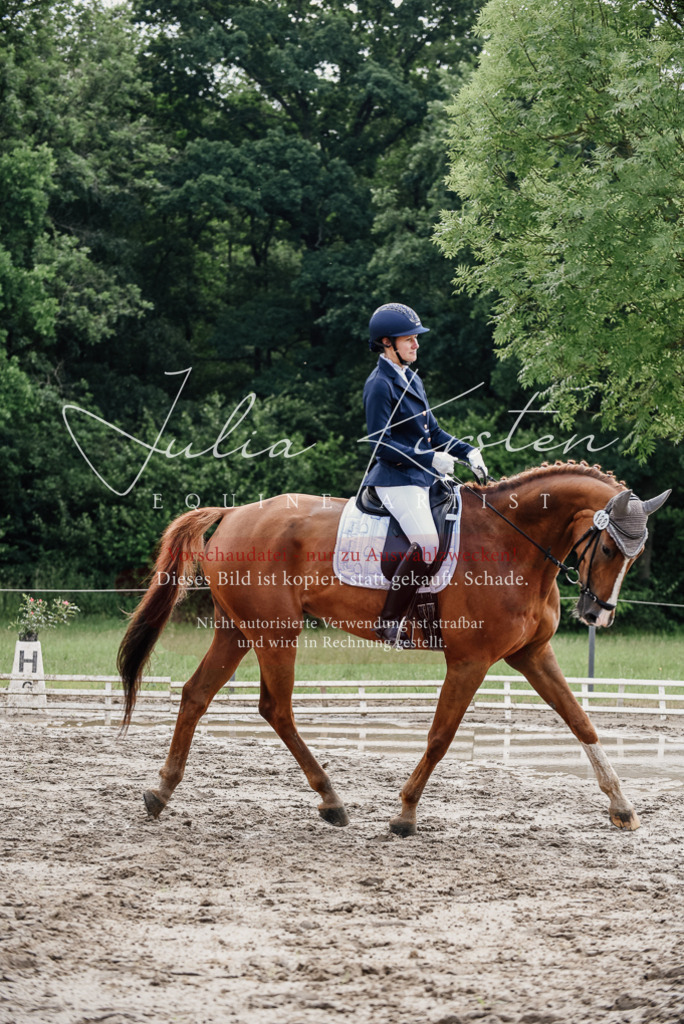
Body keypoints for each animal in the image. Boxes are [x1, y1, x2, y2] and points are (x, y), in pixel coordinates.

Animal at [117, 461, 670, 836]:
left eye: (637, 552)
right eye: (609, 547)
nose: (598, 615)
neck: (512, 543)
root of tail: (234, 513)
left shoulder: (532, 655)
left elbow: (582, 721)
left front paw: (622, 806)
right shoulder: (469, 661)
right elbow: (440, 736)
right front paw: (405, 813)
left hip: (236, 629)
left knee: (196, 694)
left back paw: (161, 792)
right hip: (276, 632)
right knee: (276, 708)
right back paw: (331, 800)